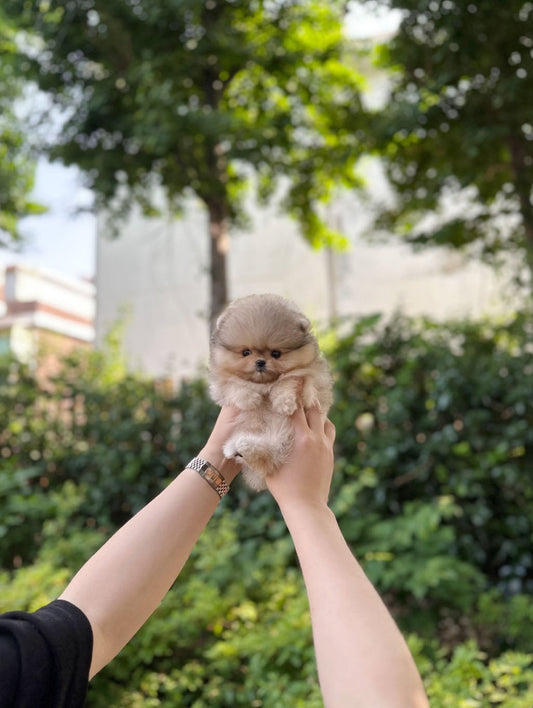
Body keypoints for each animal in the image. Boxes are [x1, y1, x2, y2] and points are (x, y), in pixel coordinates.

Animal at [208, 294, 332, 492]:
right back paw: (234, 448)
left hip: (278, 444)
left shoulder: (307, 376)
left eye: (276, 354)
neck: (264, 384)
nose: (260, 362)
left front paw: (284, 403)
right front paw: (251, 399)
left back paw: (240, 448)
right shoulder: (221, 383)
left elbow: (288, 380)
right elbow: (235, 385)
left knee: (264, 458)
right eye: (246, 352)